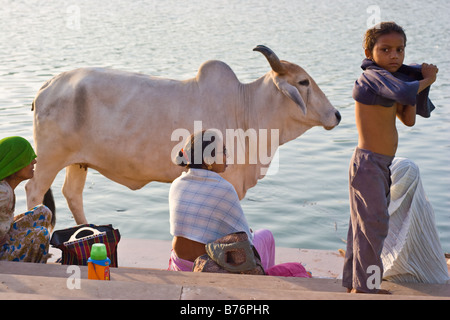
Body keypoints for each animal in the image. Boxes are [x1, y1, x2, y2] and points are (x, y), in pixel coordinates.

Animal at [25, 45, 342, 225]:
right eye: (303, 82)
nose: (337, 115)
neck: (248, 108)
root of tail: (46, 86)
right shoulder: (226, 177)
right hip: (50, 158)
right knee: (34, 190)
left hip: (78, 162)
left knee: (72, 194)